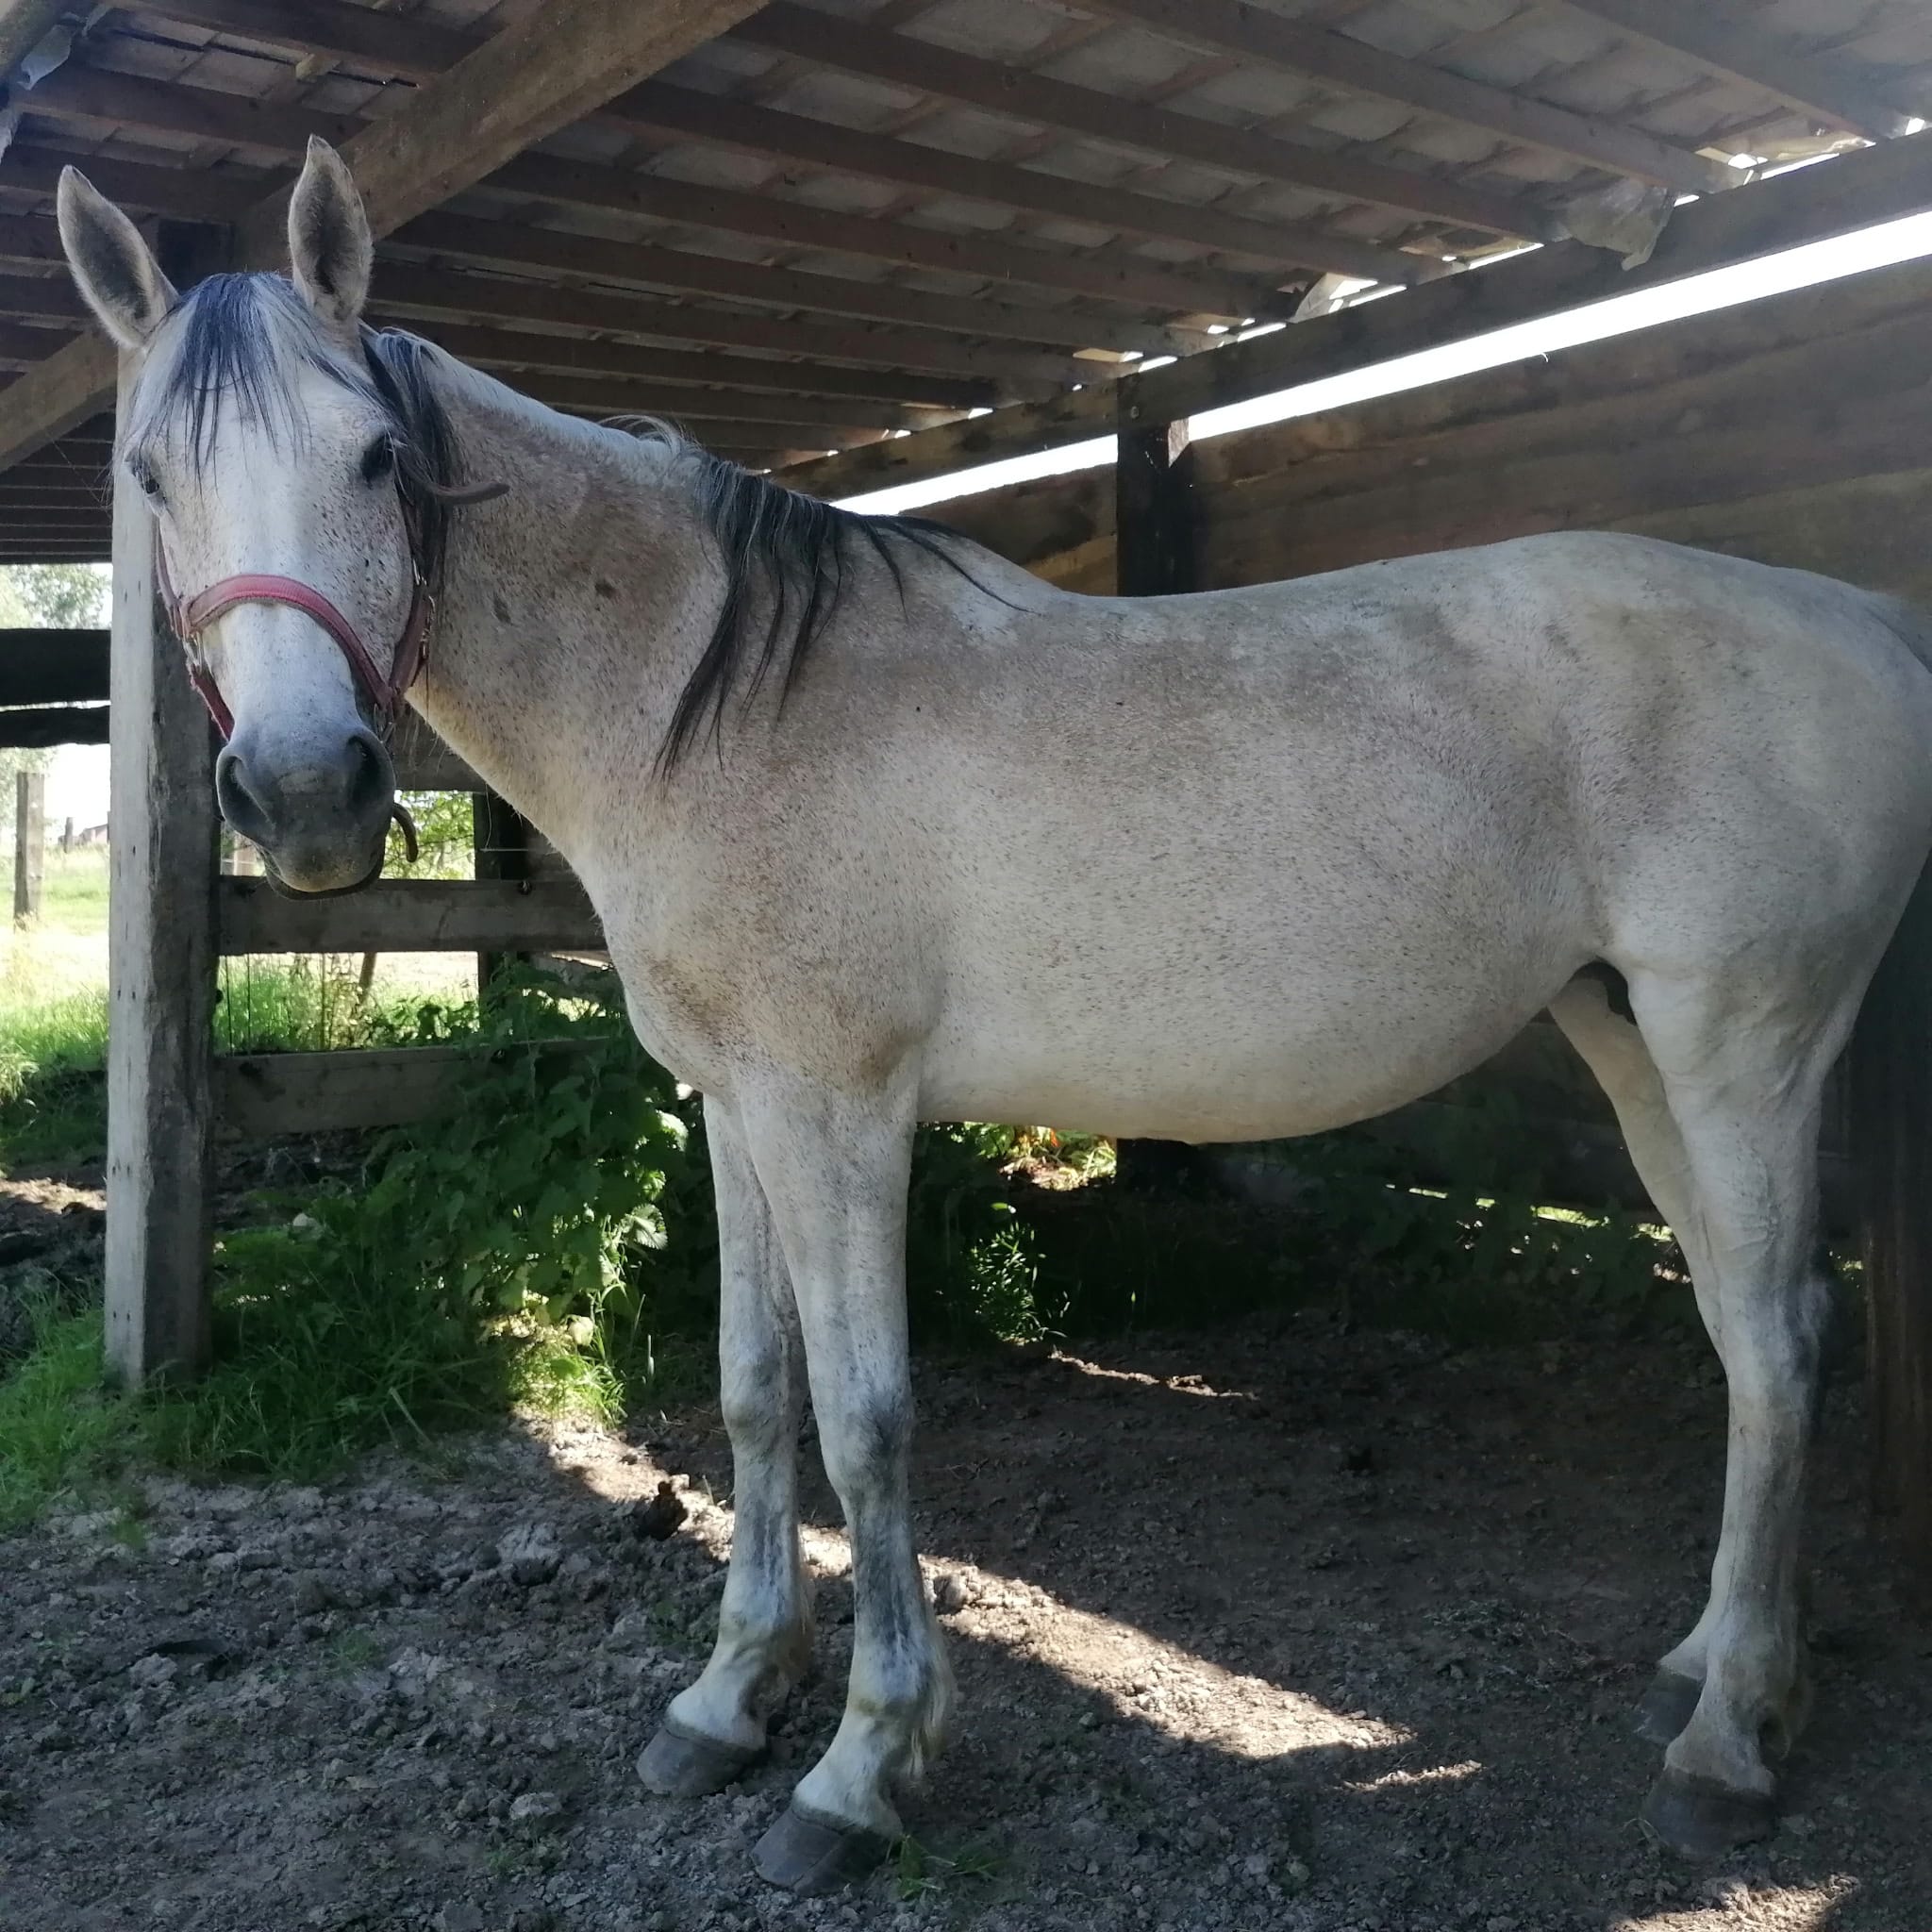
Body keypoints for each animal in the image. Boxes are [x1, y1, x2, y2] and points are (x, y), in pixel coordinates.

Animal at [57, 138, 1932, 1894]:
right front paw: (725, 1703)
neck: (714, 700)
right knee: (1745, 1339)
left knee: (1779, 1346)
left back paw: (1722, 1749)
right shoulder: (736, 1106)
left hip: (1743, 1046)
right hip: (1631, 1043)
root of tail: (1864, 619)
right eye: (148, 478)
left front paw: (858, 1770)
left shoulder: (838, 1112)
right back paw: (1714, 1667)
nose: (307, 795)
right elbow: (754, 1390)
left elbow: (868, 1418)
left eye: (376, 457)